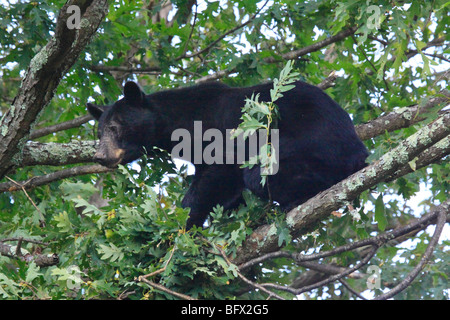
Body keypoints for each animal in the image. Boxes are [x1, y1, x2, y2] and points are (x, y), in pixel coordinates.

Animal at [88, 81, 370, 229]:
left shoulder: (217, 137)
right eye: (100, 131)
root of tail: (359, 150)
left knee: (260, 174)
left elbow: (218, 174)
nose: (101, 156)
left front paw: (181, 223)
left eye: (115, 127)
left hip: (312, 146)